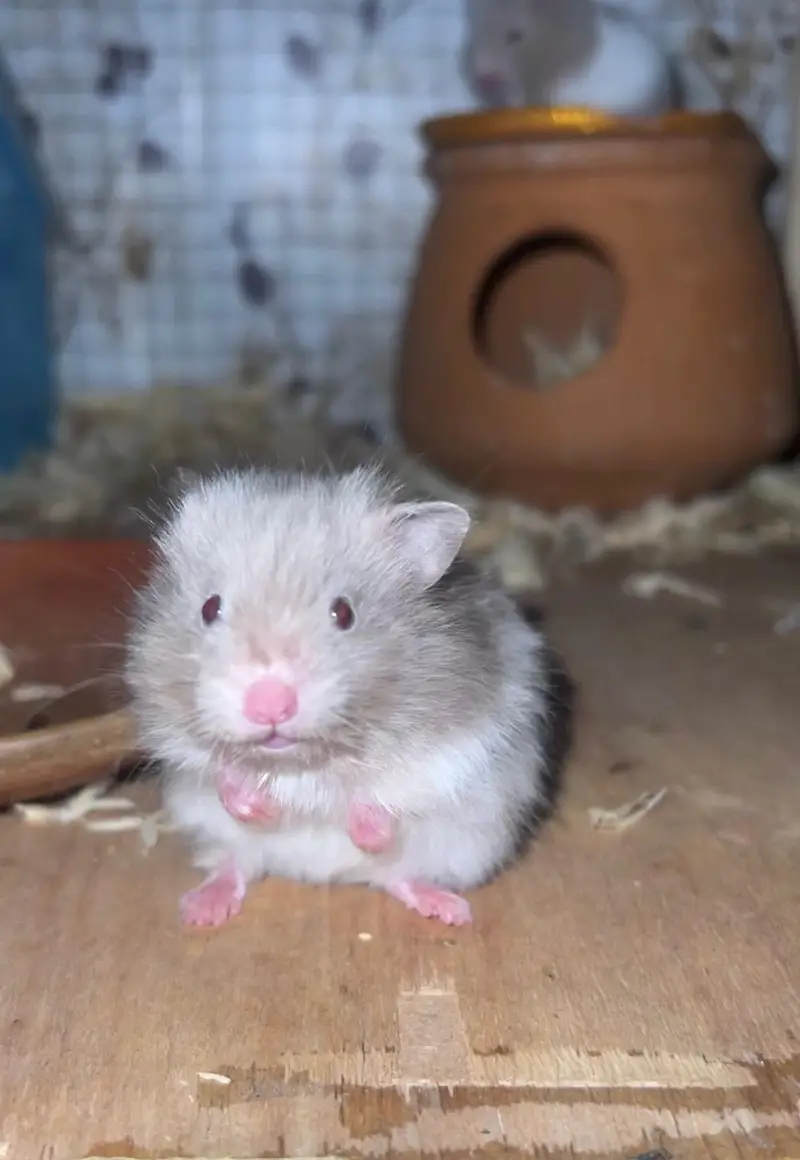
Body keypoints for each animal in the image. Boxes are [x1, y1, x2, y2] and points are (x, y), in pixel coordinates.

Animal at [125, 466, 553, 928]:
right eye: (210, 608)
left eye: (344, 613)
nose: (269, 705)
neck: (304, 765)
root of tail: (316, 873)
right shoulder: (178, 745)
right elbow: (219, 775)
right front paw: (263, 809)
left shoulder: (461, 746)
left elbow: (387, 791)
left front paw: (365, 827)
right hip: (213, 831)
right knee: (233, 863)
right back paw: (201, 911)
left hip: (470, 843)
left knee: (400, 876)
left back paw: (450, 911)